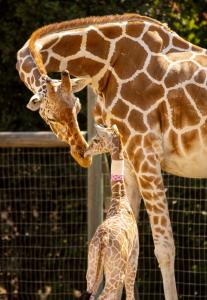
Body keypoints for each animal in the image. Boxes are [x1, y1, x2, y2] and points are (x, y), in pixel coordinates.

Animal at [83, 125, 138, 300]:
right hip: (116, 272)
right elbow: (129, 294)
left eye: (96, 140)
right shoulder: (133, 259)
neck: (119, 200)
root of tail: (103, 240)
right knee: (102, 296)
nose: (85, 152)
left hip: (92, 268)